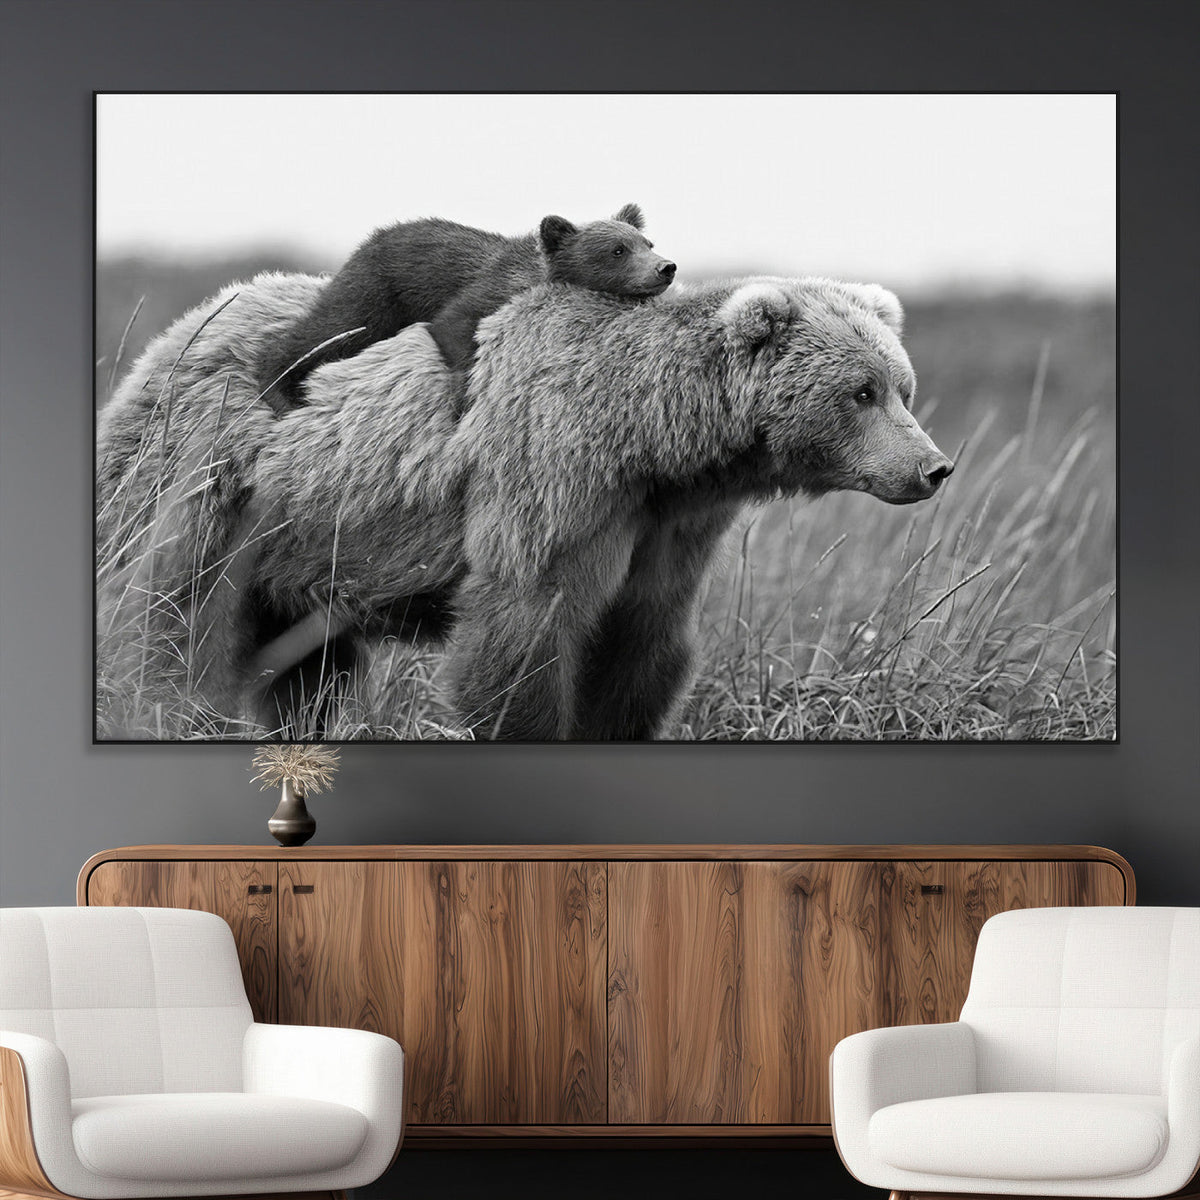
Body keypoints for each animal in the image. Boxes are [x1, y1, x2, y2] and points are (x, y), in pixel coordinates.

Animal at [95, 271, 953, 741]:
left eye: (902, 387)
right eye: (862, 392)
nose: (933, 466)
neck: (653, 441)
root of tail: (172, 335)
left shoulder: (667, 528)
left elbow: (641, 646)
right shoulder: (553, 479)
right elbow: (522, 632)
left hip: (304, 549)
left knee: (306, 670)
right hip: (212, 487)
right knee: (171, 621)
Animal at [257, 203, 676, 413]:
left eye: (647, 242)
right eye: (617, 250)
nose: (665, 268)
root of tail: (371, 238)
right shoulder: (486, 290)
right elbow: (454, 325)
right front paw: (464, 397)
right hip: (376, 292)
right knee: (329, 330)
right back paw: (279, 389)